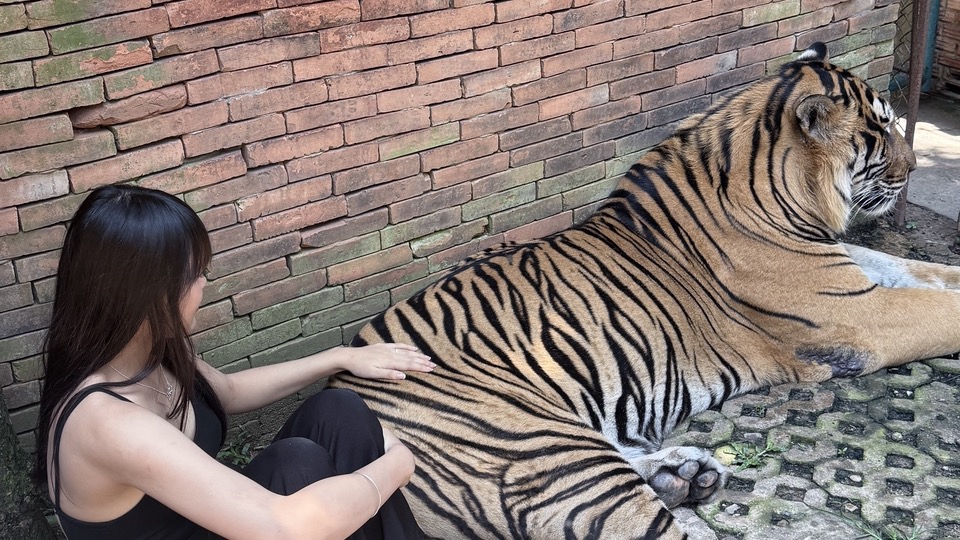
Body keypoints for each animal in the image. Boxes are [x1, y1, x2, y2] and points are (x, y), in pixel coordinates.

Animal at [329, 42, 960, 539]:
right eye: (880, 130)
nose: (912, 169)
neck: (787, 198)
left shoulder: (856, 273)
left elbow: (924, 271)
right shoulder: (860, 317)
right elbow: (942, 308)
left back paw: (683, 475)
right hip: (545, 450)